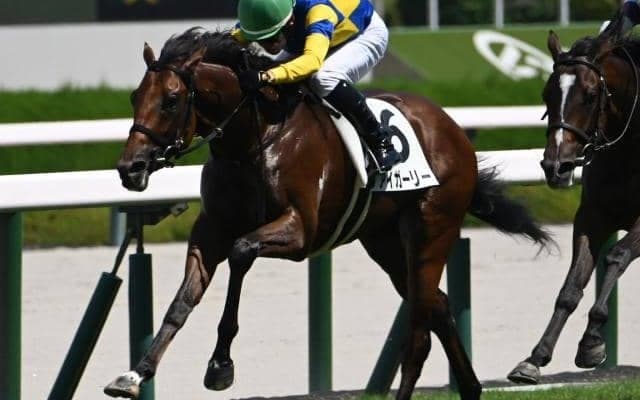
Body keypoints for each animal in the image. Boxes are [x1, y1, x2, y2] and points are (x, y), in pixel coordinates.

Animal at [105, 28, 552, 399]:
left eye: (171, 100)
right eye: (133, 97)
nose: (130, 168)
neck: (255, 137)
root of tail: (453, 130)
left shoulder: (300, 232)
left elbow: (241, 251)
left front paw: (220, 365)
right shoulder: (210, 229)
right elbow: (182, 301)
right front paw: (135, 374)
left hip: (432, 231)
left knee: (420, 334)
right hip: (386, 243)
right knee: (439, 307)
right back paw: (471, 387)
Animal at [508, 13, 640, 384]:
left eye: (591, 94)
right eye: (547, 93)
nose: (557, 166)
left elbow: (617, 256)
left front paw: (593, 340)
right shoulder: (592, 216)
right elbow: (571, 286)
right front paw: (535, 358)